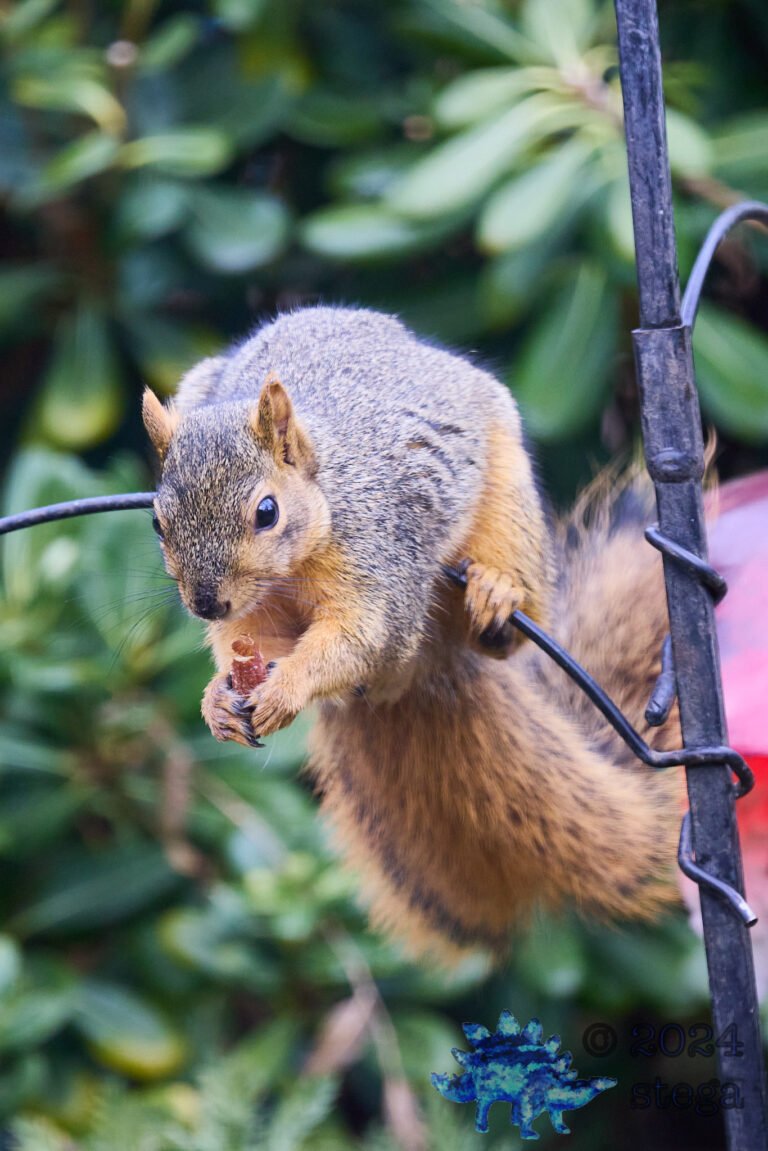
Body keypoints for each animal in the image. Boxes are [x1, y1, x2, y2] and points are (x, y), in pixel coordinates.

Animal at [142, 305, 684, 963]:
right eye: (157, 522)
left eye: (266, 512)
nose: (205, 603)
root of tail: (429, 672)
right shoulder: (252, 614)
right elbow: (245, 643)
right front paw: (219, 699)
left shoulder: (380, 557)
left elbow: (363, 634)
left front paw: (286, 689)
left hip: (507, 493)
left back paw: (496, 595)